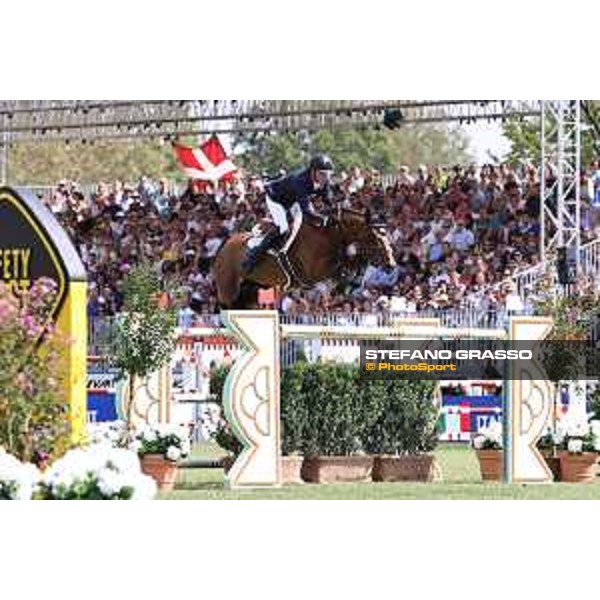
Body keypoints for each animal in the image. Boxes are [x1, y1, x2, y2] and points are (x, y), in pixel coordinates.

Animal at [213, 206, 396, 310]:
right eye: (375, 237)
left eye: (386, 234)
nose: (392, 264)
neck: (330, 235)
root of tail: (224, 246)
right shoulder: (314, 272)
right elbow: (342, 265)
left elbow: (350, 261)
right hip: (229, 292)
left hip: (252, 289)